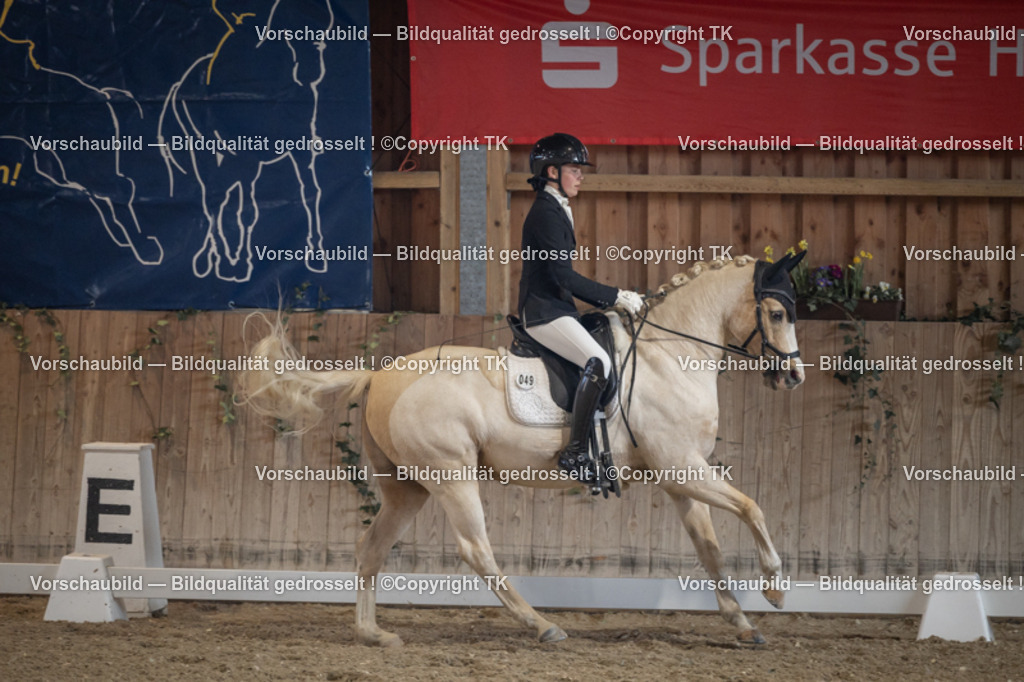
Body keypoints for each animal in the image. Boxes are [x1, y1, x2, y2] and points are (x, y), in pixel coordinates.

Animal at [238, 253, 807, 646]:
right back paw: (541, 626)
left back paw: (373, 634)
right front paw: (775, 589)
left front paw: (742, 623)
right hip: (452, 476)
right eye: (778, 313)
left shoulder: (679, 476)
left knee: (370, 549)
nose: (795, 377)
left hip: (407, 489)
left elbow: (709, 548)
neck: (668, 355)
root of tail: (380, 373)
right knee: (476, 550)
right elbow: (753, 508)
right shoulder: (685, 469)